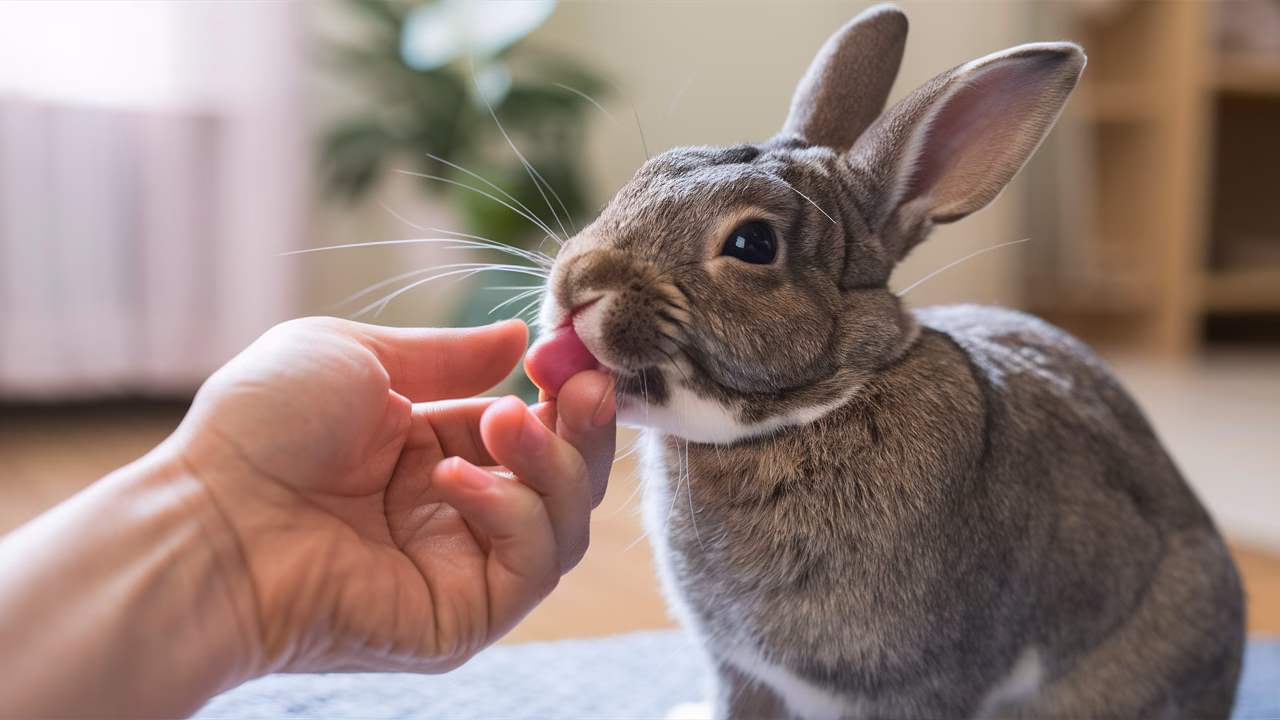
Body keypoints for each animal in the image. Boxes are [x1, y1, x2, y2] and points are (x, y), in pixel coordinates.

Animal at [524, 4, 1245, 718]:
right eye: (645, 177)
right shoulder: (743, 673)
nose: (576, 286)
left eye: (753, 243)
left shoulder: (921, 686)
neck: (807, 416)